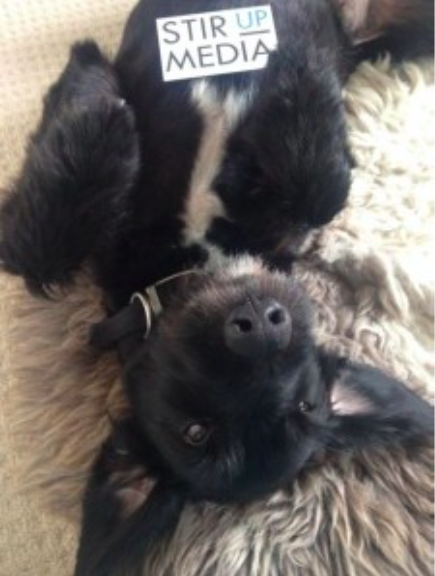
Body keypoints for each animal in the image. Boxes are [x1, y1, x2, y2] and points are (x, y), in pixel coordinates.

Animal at [0, 1, 434, 576]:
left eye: (304, 407)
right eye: (196, 431)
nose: (262, 329)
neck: (202, 259)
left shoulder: (302, 219)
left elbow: (322, 185)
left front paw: (300, 77)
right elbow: (39, 249)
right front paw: (102, 98)